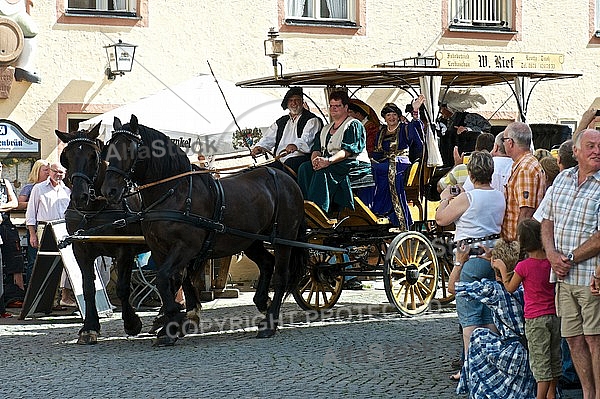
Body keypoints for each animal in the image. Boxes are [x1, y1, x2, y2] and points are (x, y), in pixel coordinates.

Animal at [55, 123, 150, 346]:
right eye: (67, 157)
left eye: (93, 156)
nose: (80, 196)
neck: (96, 207)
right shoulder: (81, 249)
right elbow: (88, 288)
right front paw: (89, 328)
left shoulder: (124, 249)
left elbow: (123, 287)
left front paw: (132, 323)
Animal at [102, 114, 304, 346]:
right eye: (109, 148)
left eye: (129, 149)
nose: (109, 191)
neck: (174, 193)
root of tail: (285, 177)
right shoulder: (160, 250)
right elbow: (176, 281)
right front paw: (175, 323)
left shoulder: (185, 247)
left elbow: (164, 279)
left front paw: (173, 322)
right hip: (250, 240)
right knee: (267, 263)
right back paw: (262, 302)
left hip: (284, 238)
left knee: (281, 276)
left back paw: (270, 323)